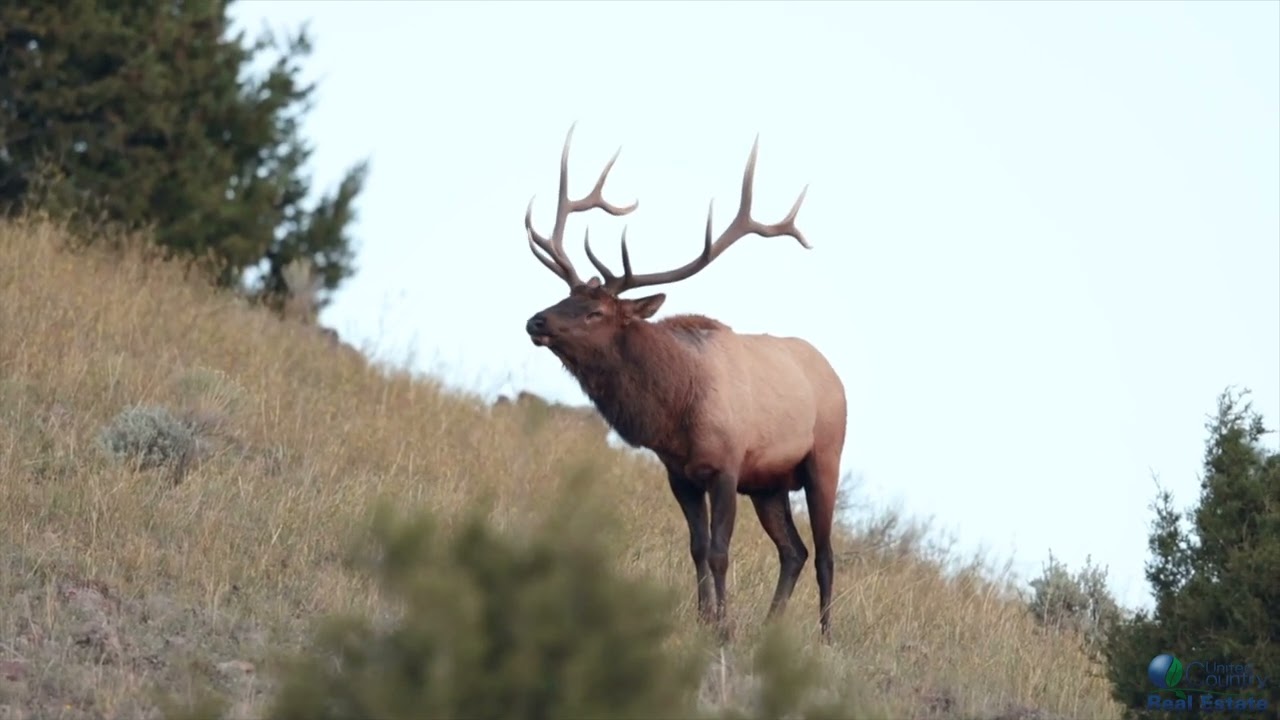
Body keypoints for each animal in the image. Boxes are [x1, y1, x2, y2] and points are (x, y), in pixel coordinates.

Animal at [521, 124, 848, 643]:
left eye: (596, 311)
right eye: (566, 295)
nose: (536, 321)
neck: (675, 409)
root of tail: (834, 374)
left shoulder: (727, 467)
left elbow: (719, 550)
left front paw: (723, 628)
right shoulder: (680, 474)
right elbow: (696, 547)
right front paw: (704, 618)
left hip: (824, 461)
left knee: (826, 554)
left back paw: (825, 638)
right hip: (769, 485)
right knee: (793, 551)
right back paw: (771, 627)